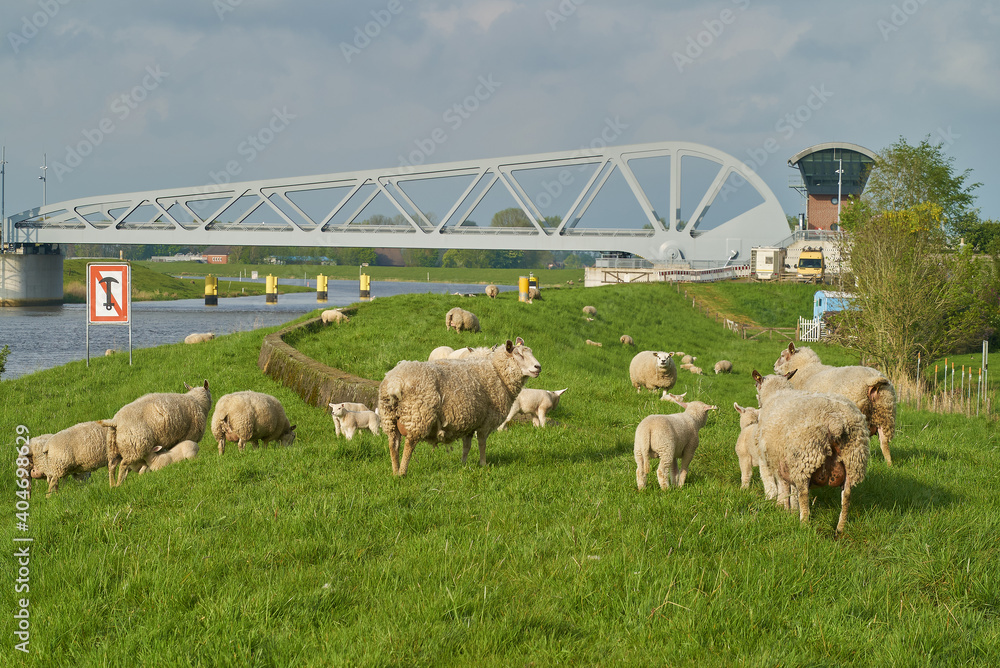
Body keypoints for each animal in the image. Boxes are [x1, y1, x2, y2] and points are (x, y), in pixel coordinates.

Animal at [378, 337, 541, 476]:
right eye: (518, 354)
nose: (538, 367)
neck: (497, 372)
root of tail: (395, 382)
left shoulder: (469, 422)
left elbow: (466, 446)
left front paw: (463, 464)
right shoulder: (485, 421)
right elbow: (482, 444)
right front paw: (483, 464)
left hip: (389, 417)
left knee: (393, 444)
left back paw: (395, 471)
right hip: (418, 415)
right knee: (409, 445)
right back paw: (402, 473)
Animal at [752, 369, 869, 536]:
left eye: (757, 385)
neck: (776, 393)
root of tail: (835, 420)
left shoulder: (776, 460)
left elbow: (784, 488)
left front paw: (783, 509)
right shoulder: (787, 461)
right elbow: (790, 489)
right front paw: (791, 511)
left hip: (805, 458)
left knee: (803, 494)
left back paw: (804, 524)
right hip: (853, 458)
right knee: (846, 495)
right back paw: (840, 529)